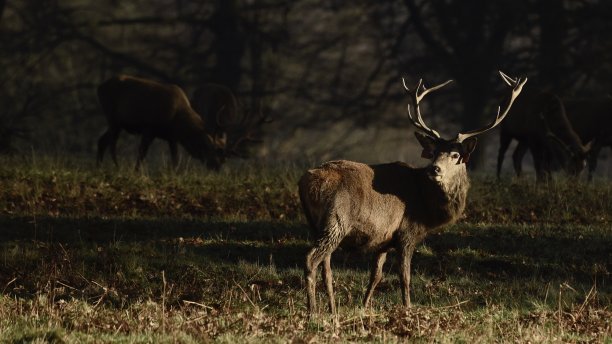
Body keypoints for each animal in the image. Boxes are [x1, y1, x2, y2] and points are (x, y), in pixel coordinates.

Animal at [97, 76, 226, 171]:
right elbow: (141, 154)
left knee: (102, 140)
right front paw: (136, 171)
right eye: (209, 147)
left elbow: (176, 160)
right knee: (112, 144)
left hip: (117, 124)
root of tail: (99, 87)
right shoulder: (149, 129)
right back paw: (117, 166)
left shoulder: (172, 138)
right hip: (113, 118)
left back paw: (100, 167)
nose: (217, 166)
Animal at [298, 71, 528, 314]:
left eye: (456, 155)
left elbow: (376, 275)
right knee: (311, 258)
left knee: (326, 266)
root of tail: (306, 181)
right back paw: (312, 311)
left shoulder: (383, 238)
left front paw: (364, 306)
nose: (434, 168)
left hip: (317, 224)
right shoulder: (407, 232)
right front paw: (407, 308)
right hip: (337, 219)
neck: (427, 208)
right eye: (434, 152)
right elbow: (405, 277)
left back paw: (332, 309)